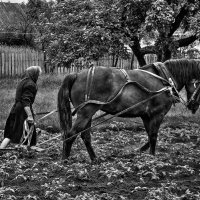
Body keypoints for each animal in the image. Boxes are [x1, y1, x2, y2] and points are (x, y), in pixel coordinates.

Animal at [57, 58, 200, 162]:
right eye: (199, 85)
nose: (194, 106)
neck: (164, 79)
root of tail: (76, 74)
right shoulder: (158, 114)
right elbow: (153, 135)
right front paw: (152, 157)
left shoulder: (146, 115)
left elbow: (149, 135)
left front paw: (142, 151)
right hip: (86, 112)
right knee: (70, 135)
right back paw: (65, 161)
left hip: (88, 113)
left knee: (85, 136)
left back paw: (94, 159)